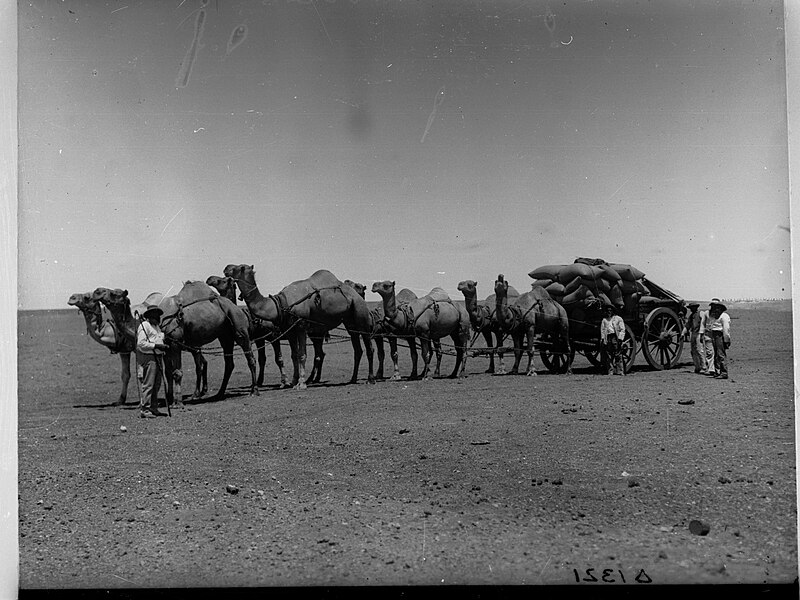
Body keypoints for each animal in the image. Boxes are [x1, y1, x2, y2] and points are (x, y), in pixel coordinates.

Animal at [222, 264, 378, 390]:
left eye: (239, 268)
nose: (225, 268)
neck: (281, 303)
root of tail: (357, 296)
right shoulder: (290, 330)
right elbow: (294, 355)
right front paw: (293, 381)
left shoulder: (301, 326)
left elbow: (301, 354)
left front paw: (301, 383)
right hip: (349, 322)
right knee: (356, 348)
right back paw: (352, 379)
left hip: (361, 313)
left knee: (369, 347)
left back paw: (370, 379)